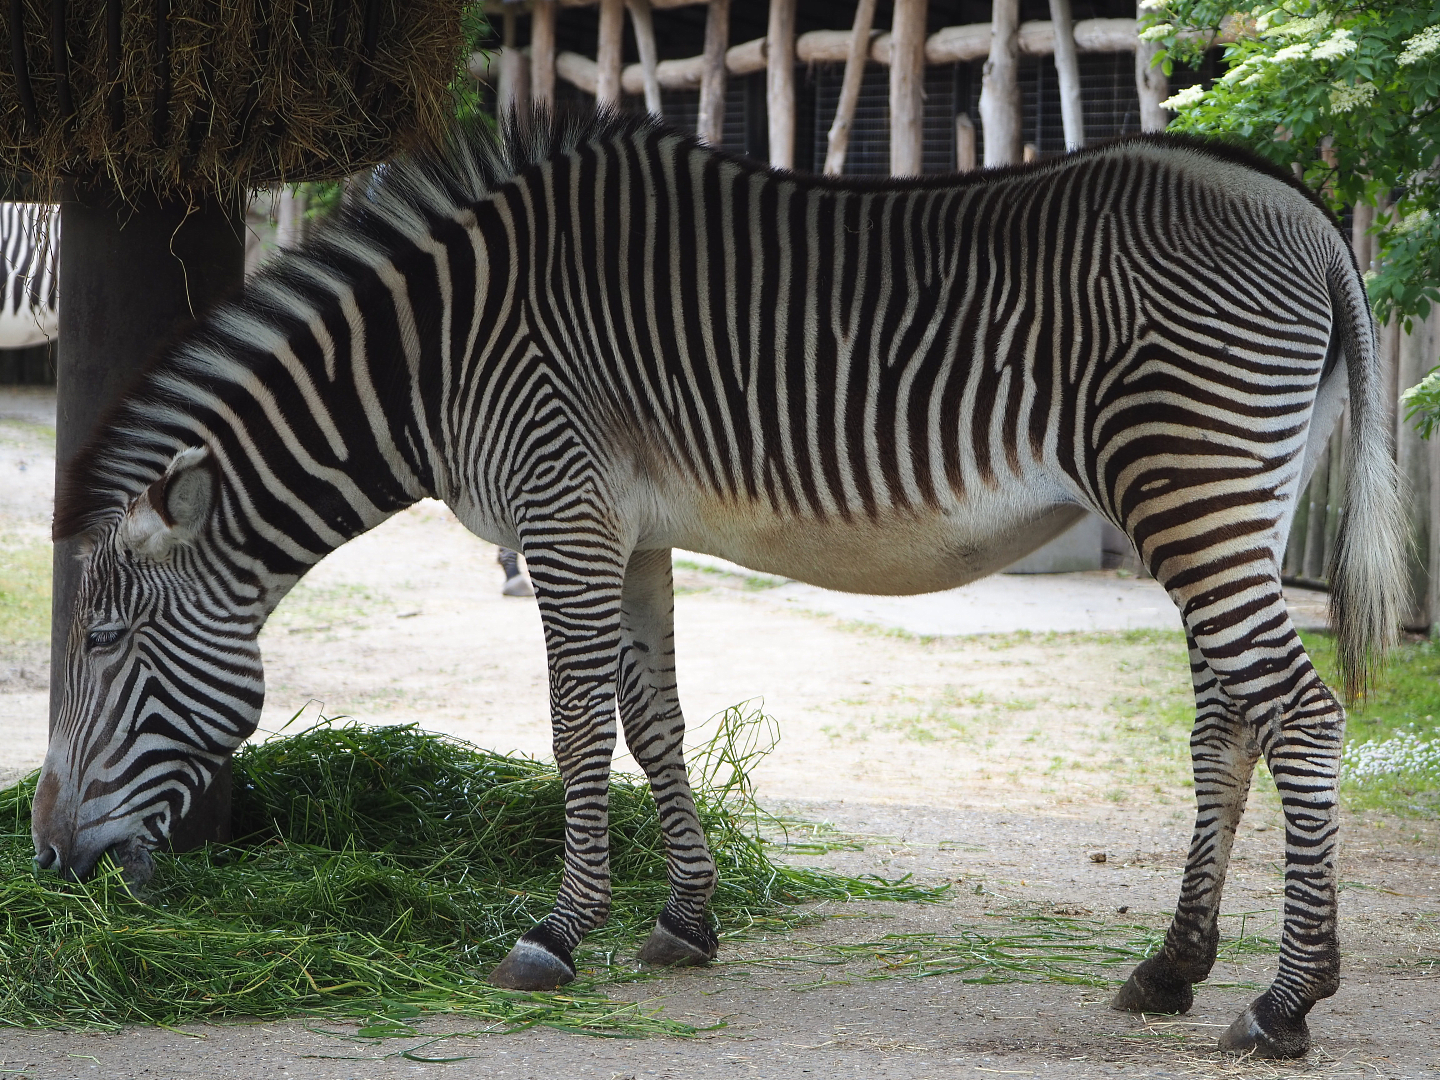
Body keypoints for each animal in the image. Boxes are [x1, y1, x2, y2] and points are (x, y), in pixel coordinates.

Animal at [31, 109, 1401, 1059]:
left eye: (96, 646)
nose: (45, 863)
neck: (434, 356)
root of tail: (1307, 213)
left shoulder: (560, 511)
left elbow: (575, 730)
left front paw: (555, 932)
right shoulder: (624, 530)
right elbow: (654, 721)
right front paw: (685, 919)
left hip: (1190, 485)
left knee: (1301, 715)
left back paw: (1285, 1002)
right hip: (1220, 500)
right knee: (1230, 721)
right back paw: (1172, 968)